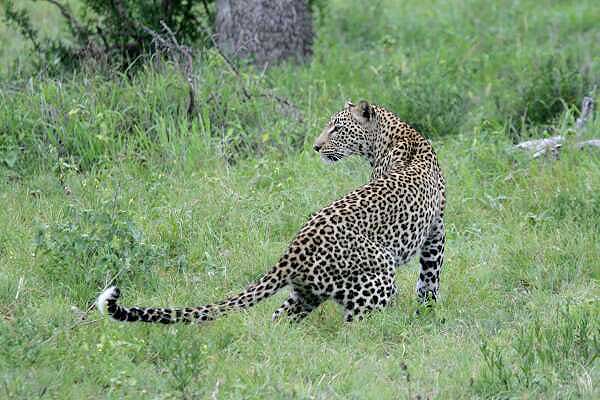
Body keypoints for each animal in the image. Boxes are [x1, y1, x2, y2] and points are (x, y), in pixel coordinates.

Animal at [97, 101, 446, 324]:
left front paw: (426, 314)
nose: (317, 146)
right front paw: (426, 313)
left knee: (279, 320)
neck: (393, 135)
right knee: (355, 328)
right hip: (376, 279)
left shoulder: (435, 231)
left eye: (336, 129)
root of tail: (294, 249)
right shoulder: (437, 232)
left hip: (307, 292)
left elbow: (429, 279)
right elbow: (429, 277)